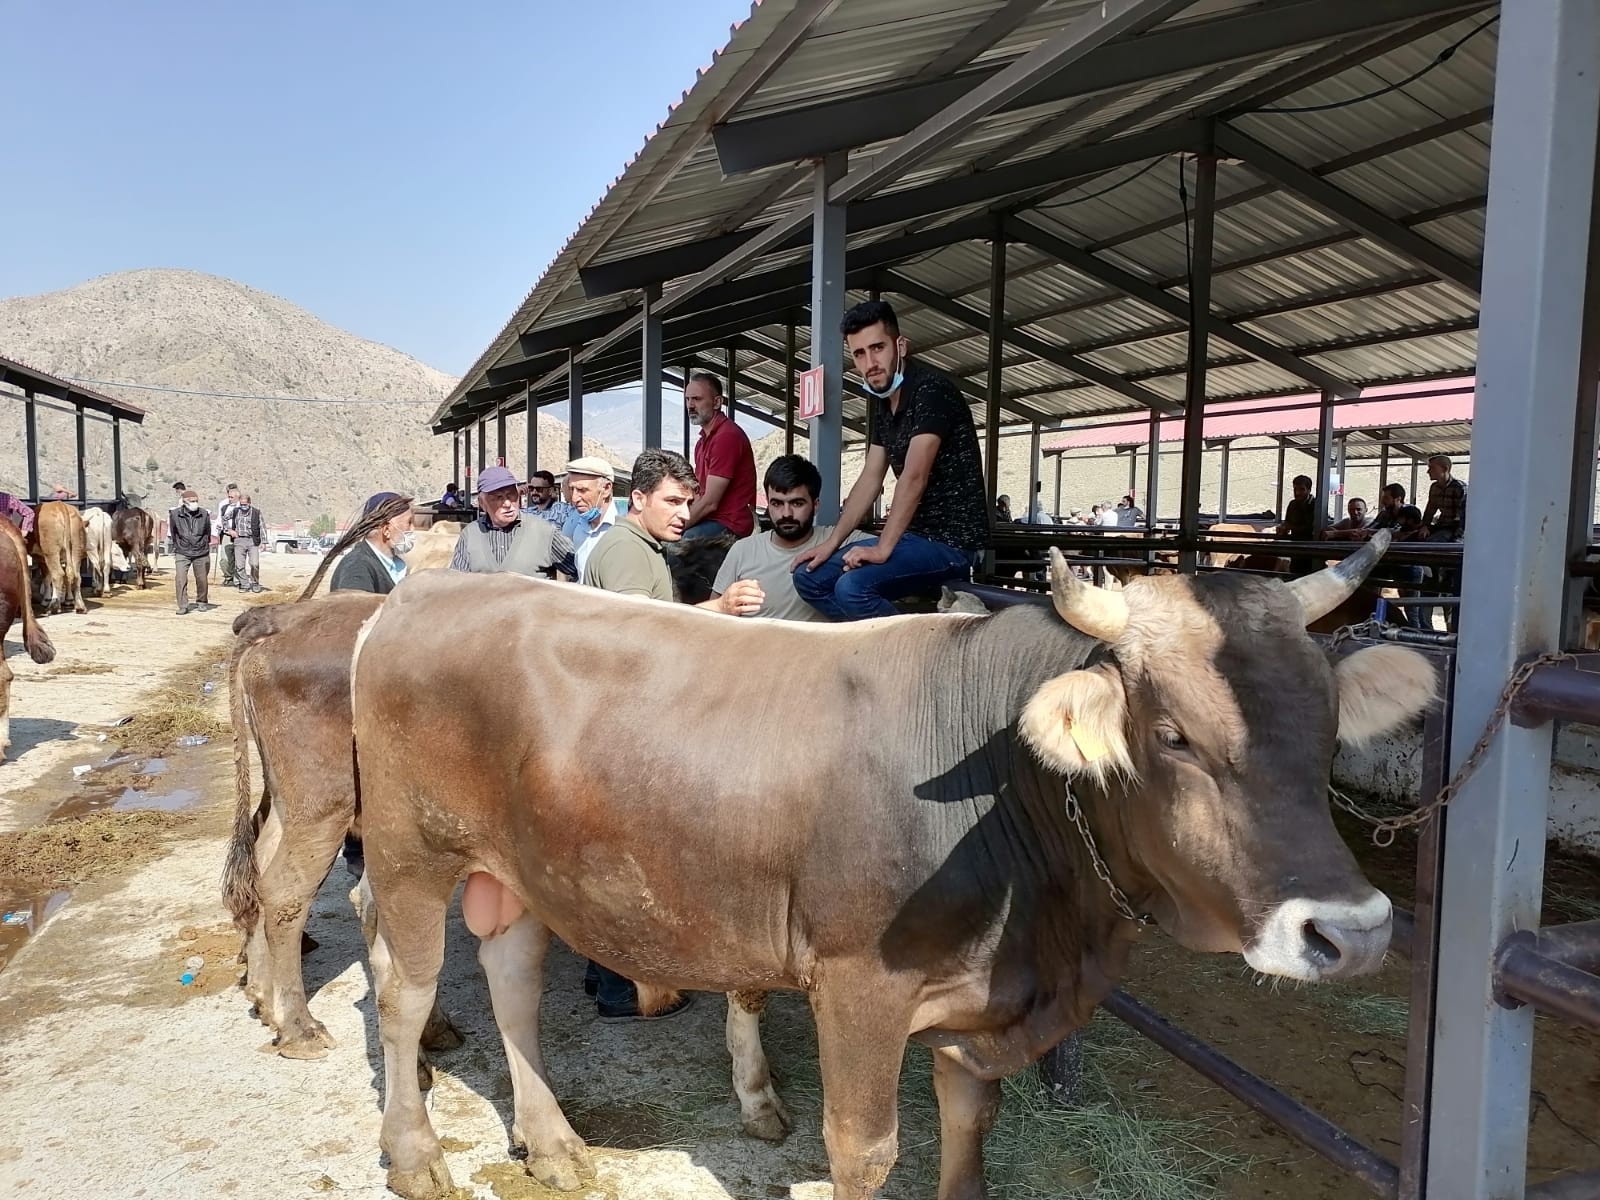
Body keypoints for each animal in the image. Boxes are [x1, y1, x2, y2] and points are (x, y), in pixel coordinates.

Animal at [350, 534, 1440, 1200]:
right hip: (409, 853)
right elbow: (865, 1149)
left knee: (513, 977)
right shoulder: (859, 987)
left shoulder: (980, 1000)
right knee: (404, 991)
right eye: (1172, 734)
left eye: (1328, 730)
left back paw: (554, 1144)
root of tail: (419, 592)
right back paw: (414, 1155)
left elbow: (969, 1124)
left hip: (523, 866)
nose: (1352, 933)